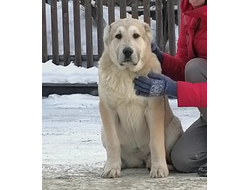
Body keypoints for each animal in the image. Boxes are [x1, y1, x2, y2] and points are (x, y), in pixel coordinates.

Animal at [97, 17, 184, 178]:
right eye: (118, 36)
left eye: (136, 35)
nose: (127, 51)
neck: (127, 73)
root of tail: (137, 160)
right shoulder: (107, 108)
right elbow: (113, 142)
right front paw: (111, 168)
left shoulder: (154, 107)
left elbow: (155, 142)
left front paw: (159, 169)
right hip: (103, 131)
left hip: (174, 126)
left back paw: (155, 164)